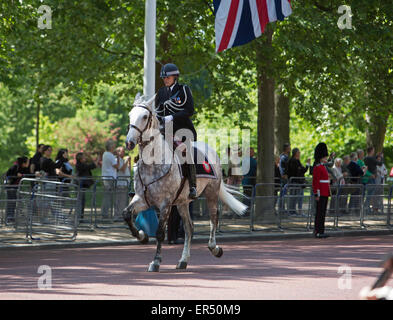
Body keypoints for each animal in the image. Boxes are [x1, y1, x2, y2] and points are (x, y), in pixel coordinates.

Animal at [123, 95, 245, 272]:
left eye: (145, 116)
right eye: (130, 115)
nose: (129, 142)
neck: (153, 163)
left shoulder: (165, 204)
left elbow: (160, 233)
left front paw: (156, 261)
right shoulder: (143, 199)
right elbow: (126, 214)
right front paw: (142, 236)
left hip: (211, 193)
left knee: (213, 219)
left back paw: (214, 248)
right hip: (182, 202)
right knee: (189, 228)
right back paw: (183, 260)